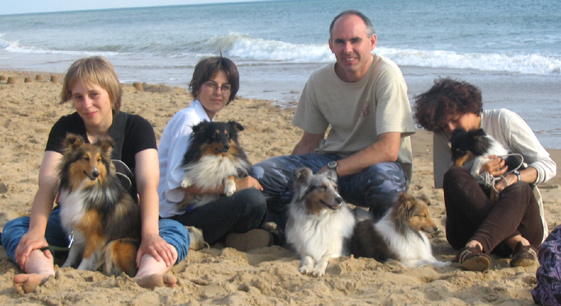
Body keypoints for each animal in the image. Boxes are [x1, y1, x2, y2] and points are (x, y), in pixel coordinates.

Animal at [57, 133, 140, 274]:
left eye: (99, 160)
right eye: (86, 158)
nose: (96, 173)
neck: (86, 187)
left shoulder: (96, 234)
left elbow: (87, 254)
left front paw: (80, 271)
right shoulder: (77, 226)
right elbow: (72, 251)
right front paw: (65, 268)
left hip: (115, 244)